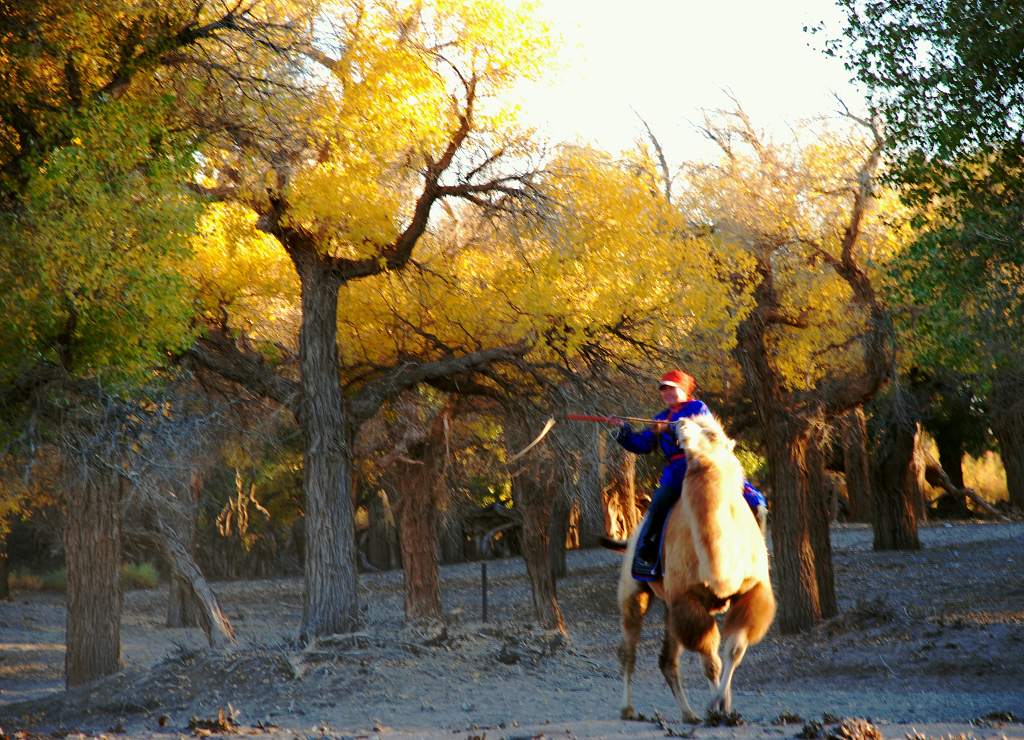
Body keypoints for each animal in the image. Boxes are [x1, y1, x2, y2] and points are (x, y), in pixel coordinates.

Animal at [610, 417, 770, 724]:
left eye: (712, 433)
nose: (680, 424)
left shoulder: (753, 590)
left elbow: (734, 651)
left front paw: (725, 707)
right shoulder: (687, 598)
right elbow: (711, 660)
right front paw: (716, 708)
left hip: (669, 607)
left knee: (667, 660)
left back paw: (689, 714)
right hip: (635, 592)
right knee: (628, 649)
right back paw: (627, 708)